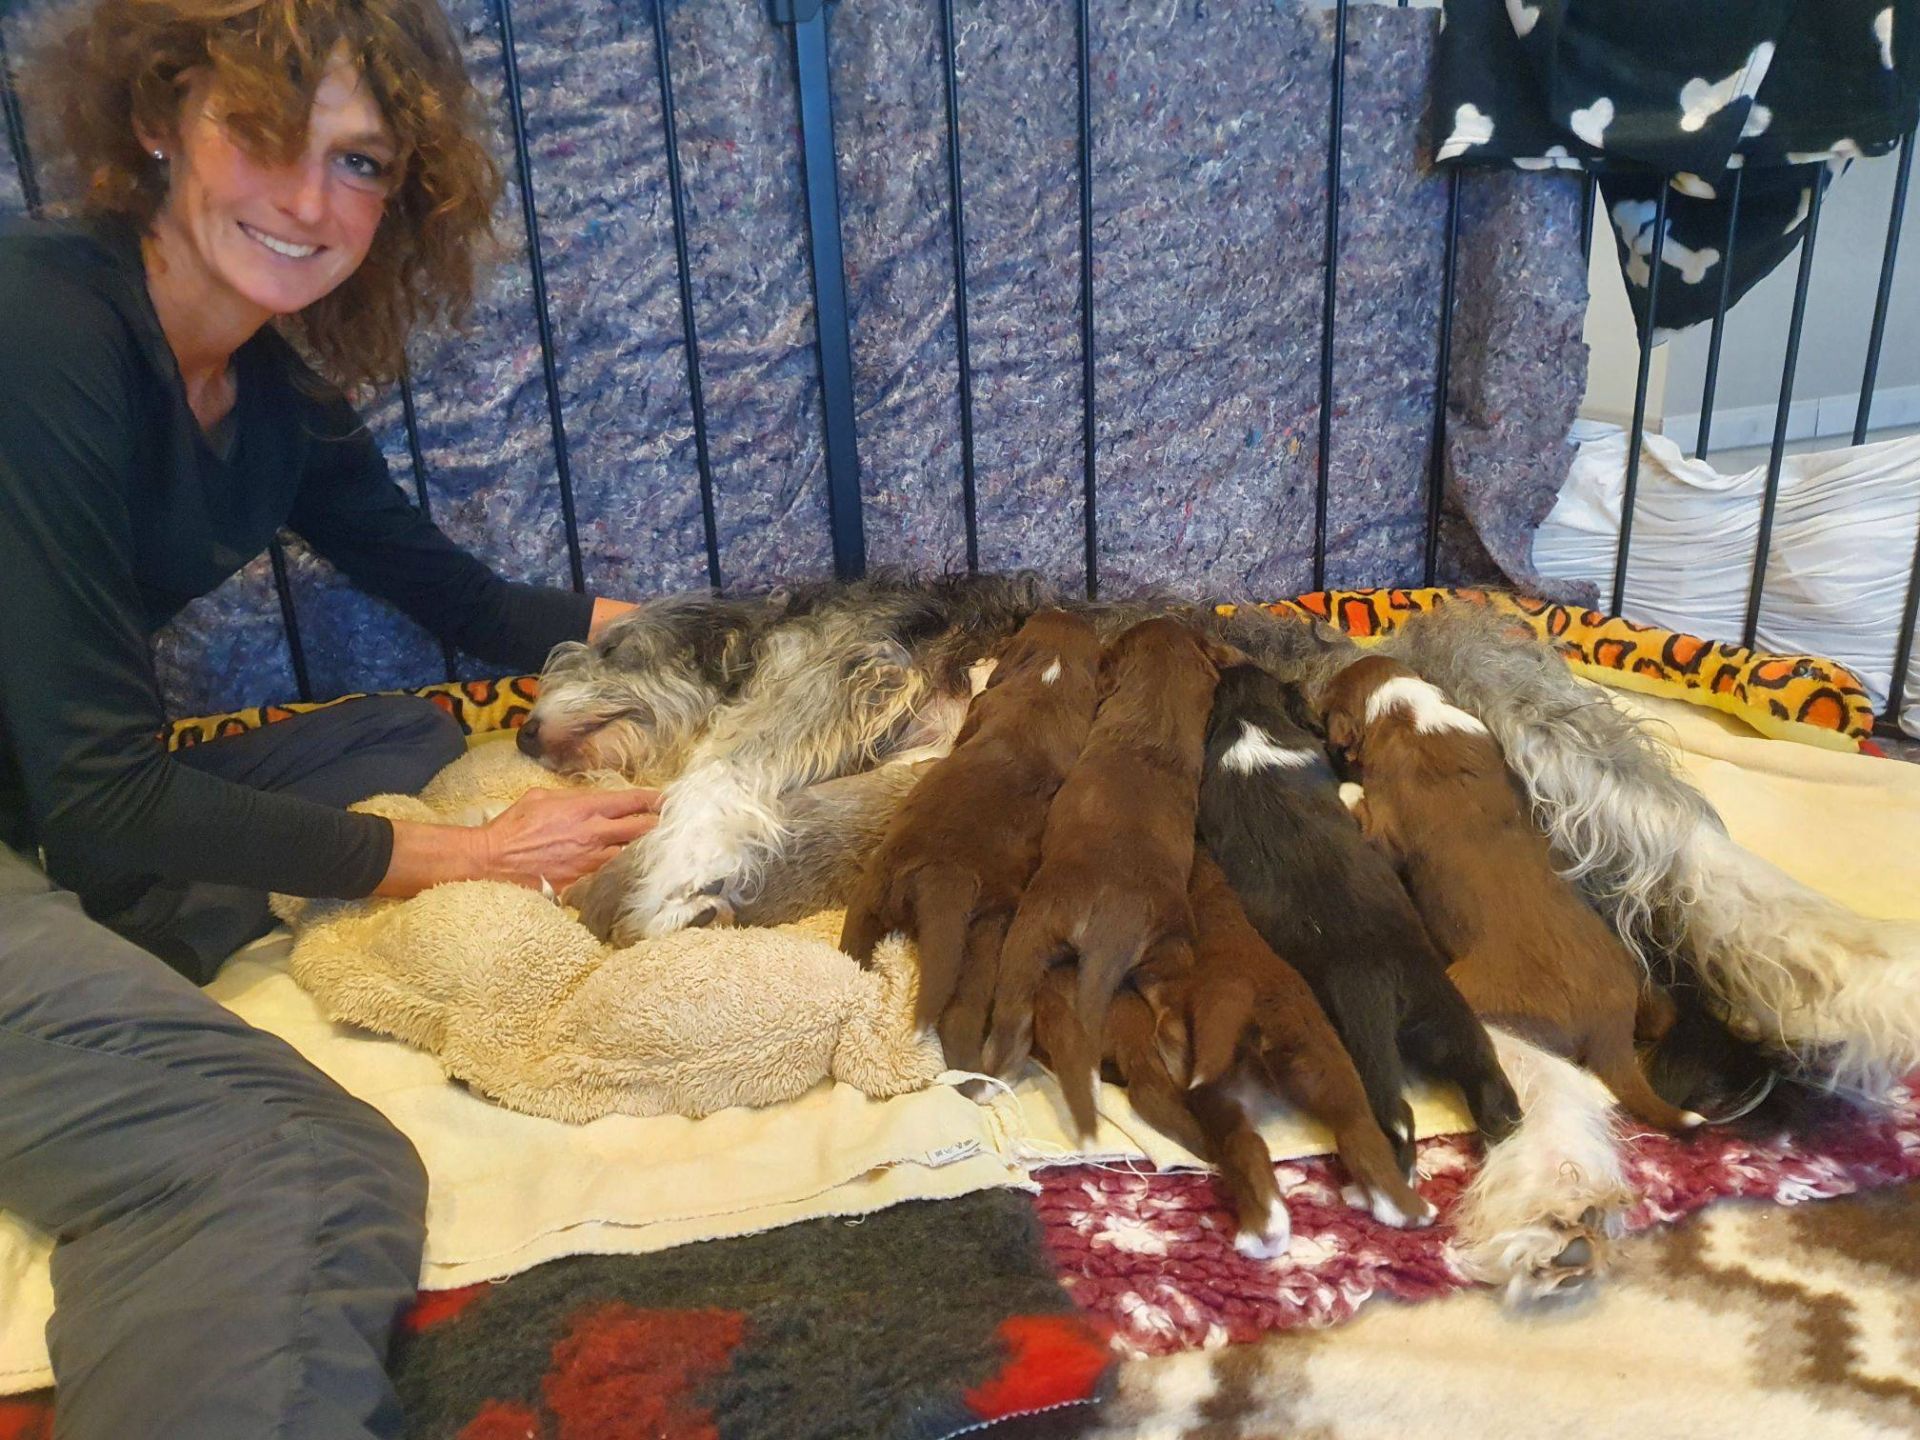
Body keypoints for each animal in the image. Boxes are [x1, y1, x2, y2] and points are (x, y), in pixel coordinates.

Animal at [981, 618, 1235, 1136]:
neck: (1157, 715)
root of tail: (1110, 931)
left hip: (1031, 931)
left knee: (1013, 1019)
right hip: (1169, 951)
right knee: (1172, 1021)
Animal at [1317, 653, 1702, 1135]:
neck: (1406, 709)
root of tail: (1611, 1028)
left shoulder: (1388, 827)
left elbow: (1369, 818)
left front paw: (1347, 788)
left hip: (1472, 986)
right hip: (1641, 981)